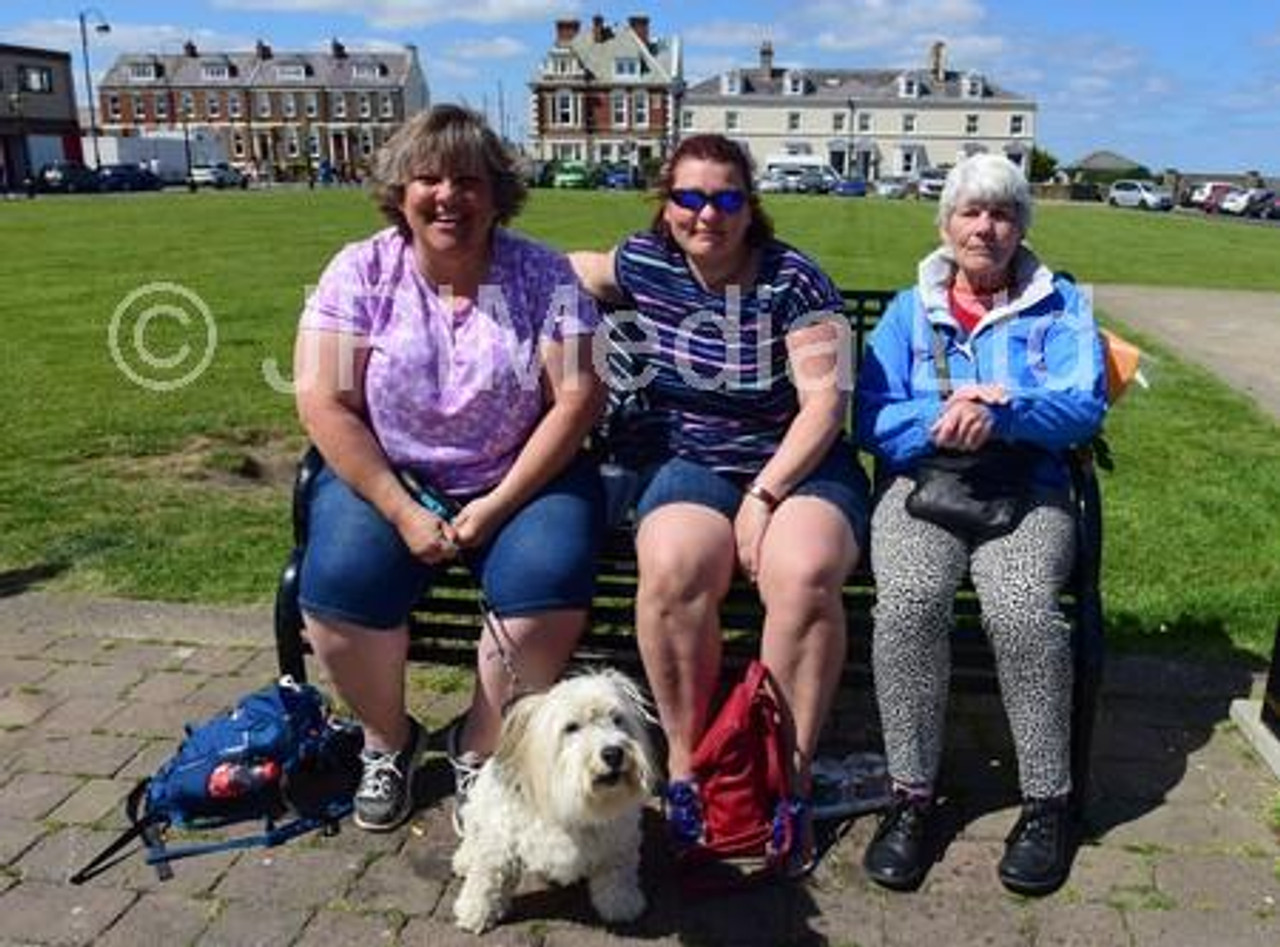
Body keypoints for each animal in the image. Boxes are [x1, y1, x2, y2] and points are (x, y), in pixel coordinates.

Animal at [450, 670, 655, 936]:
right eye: (571, 727)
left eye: (617, 719)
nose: (614, 753)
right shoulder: (500, 844)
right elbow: (487, 879)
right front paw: (476, 911)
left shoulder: (618, 842)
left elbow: (617, 874)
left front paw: (621, 903)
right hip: (477, 808)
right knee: (473, 837)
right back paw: (464, 859)